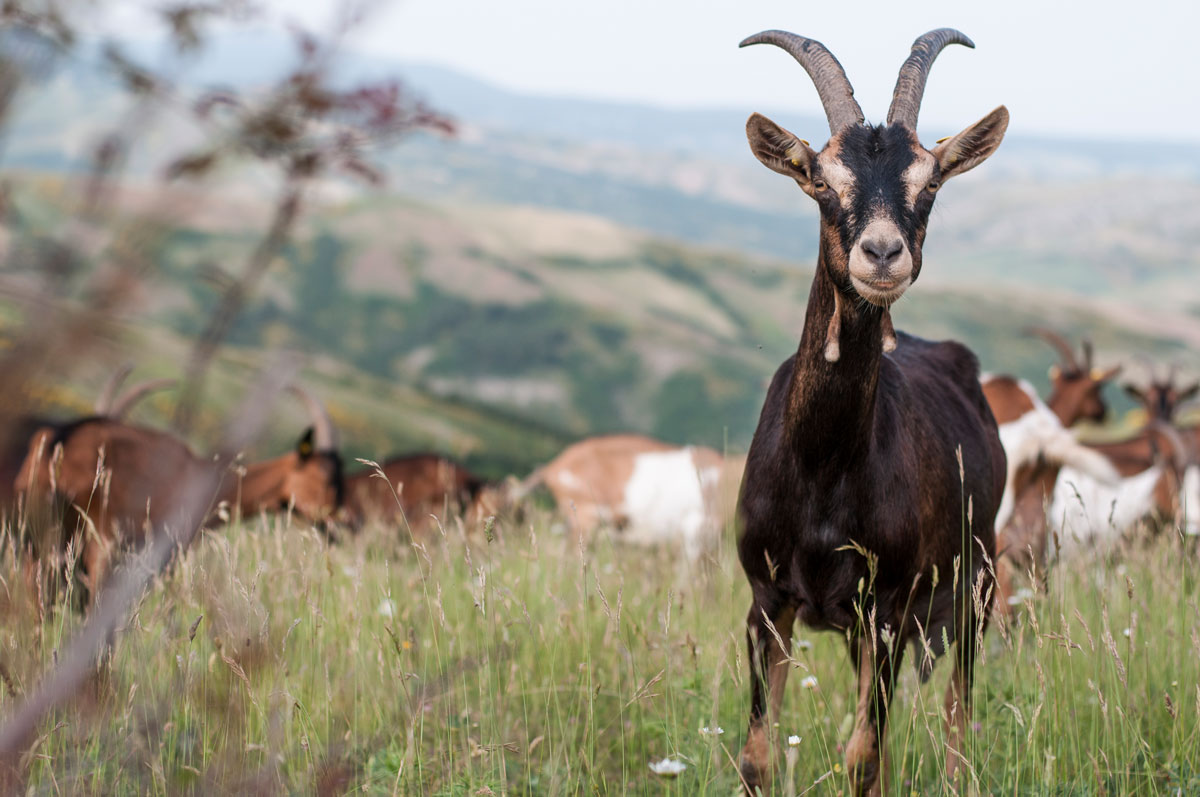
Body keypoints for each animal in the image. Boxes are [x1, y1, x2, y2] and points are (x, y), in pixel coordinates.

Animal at [14, 386, 343, 604]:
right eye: (324, 475)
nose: (341, 525)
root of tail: (57, 447)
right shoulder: (165, 557)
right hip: (100, 545)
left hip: (38, 543)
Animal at [734, 28, 1008, 792]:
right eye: (822, 180)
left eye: (931, 181)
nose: (882, 252)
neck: (822, 466)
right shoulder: (767, 599)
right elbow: (759, 754)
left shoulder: (886, 606)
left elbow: (861, 755)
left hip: (975, 586)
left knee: (957, 713)